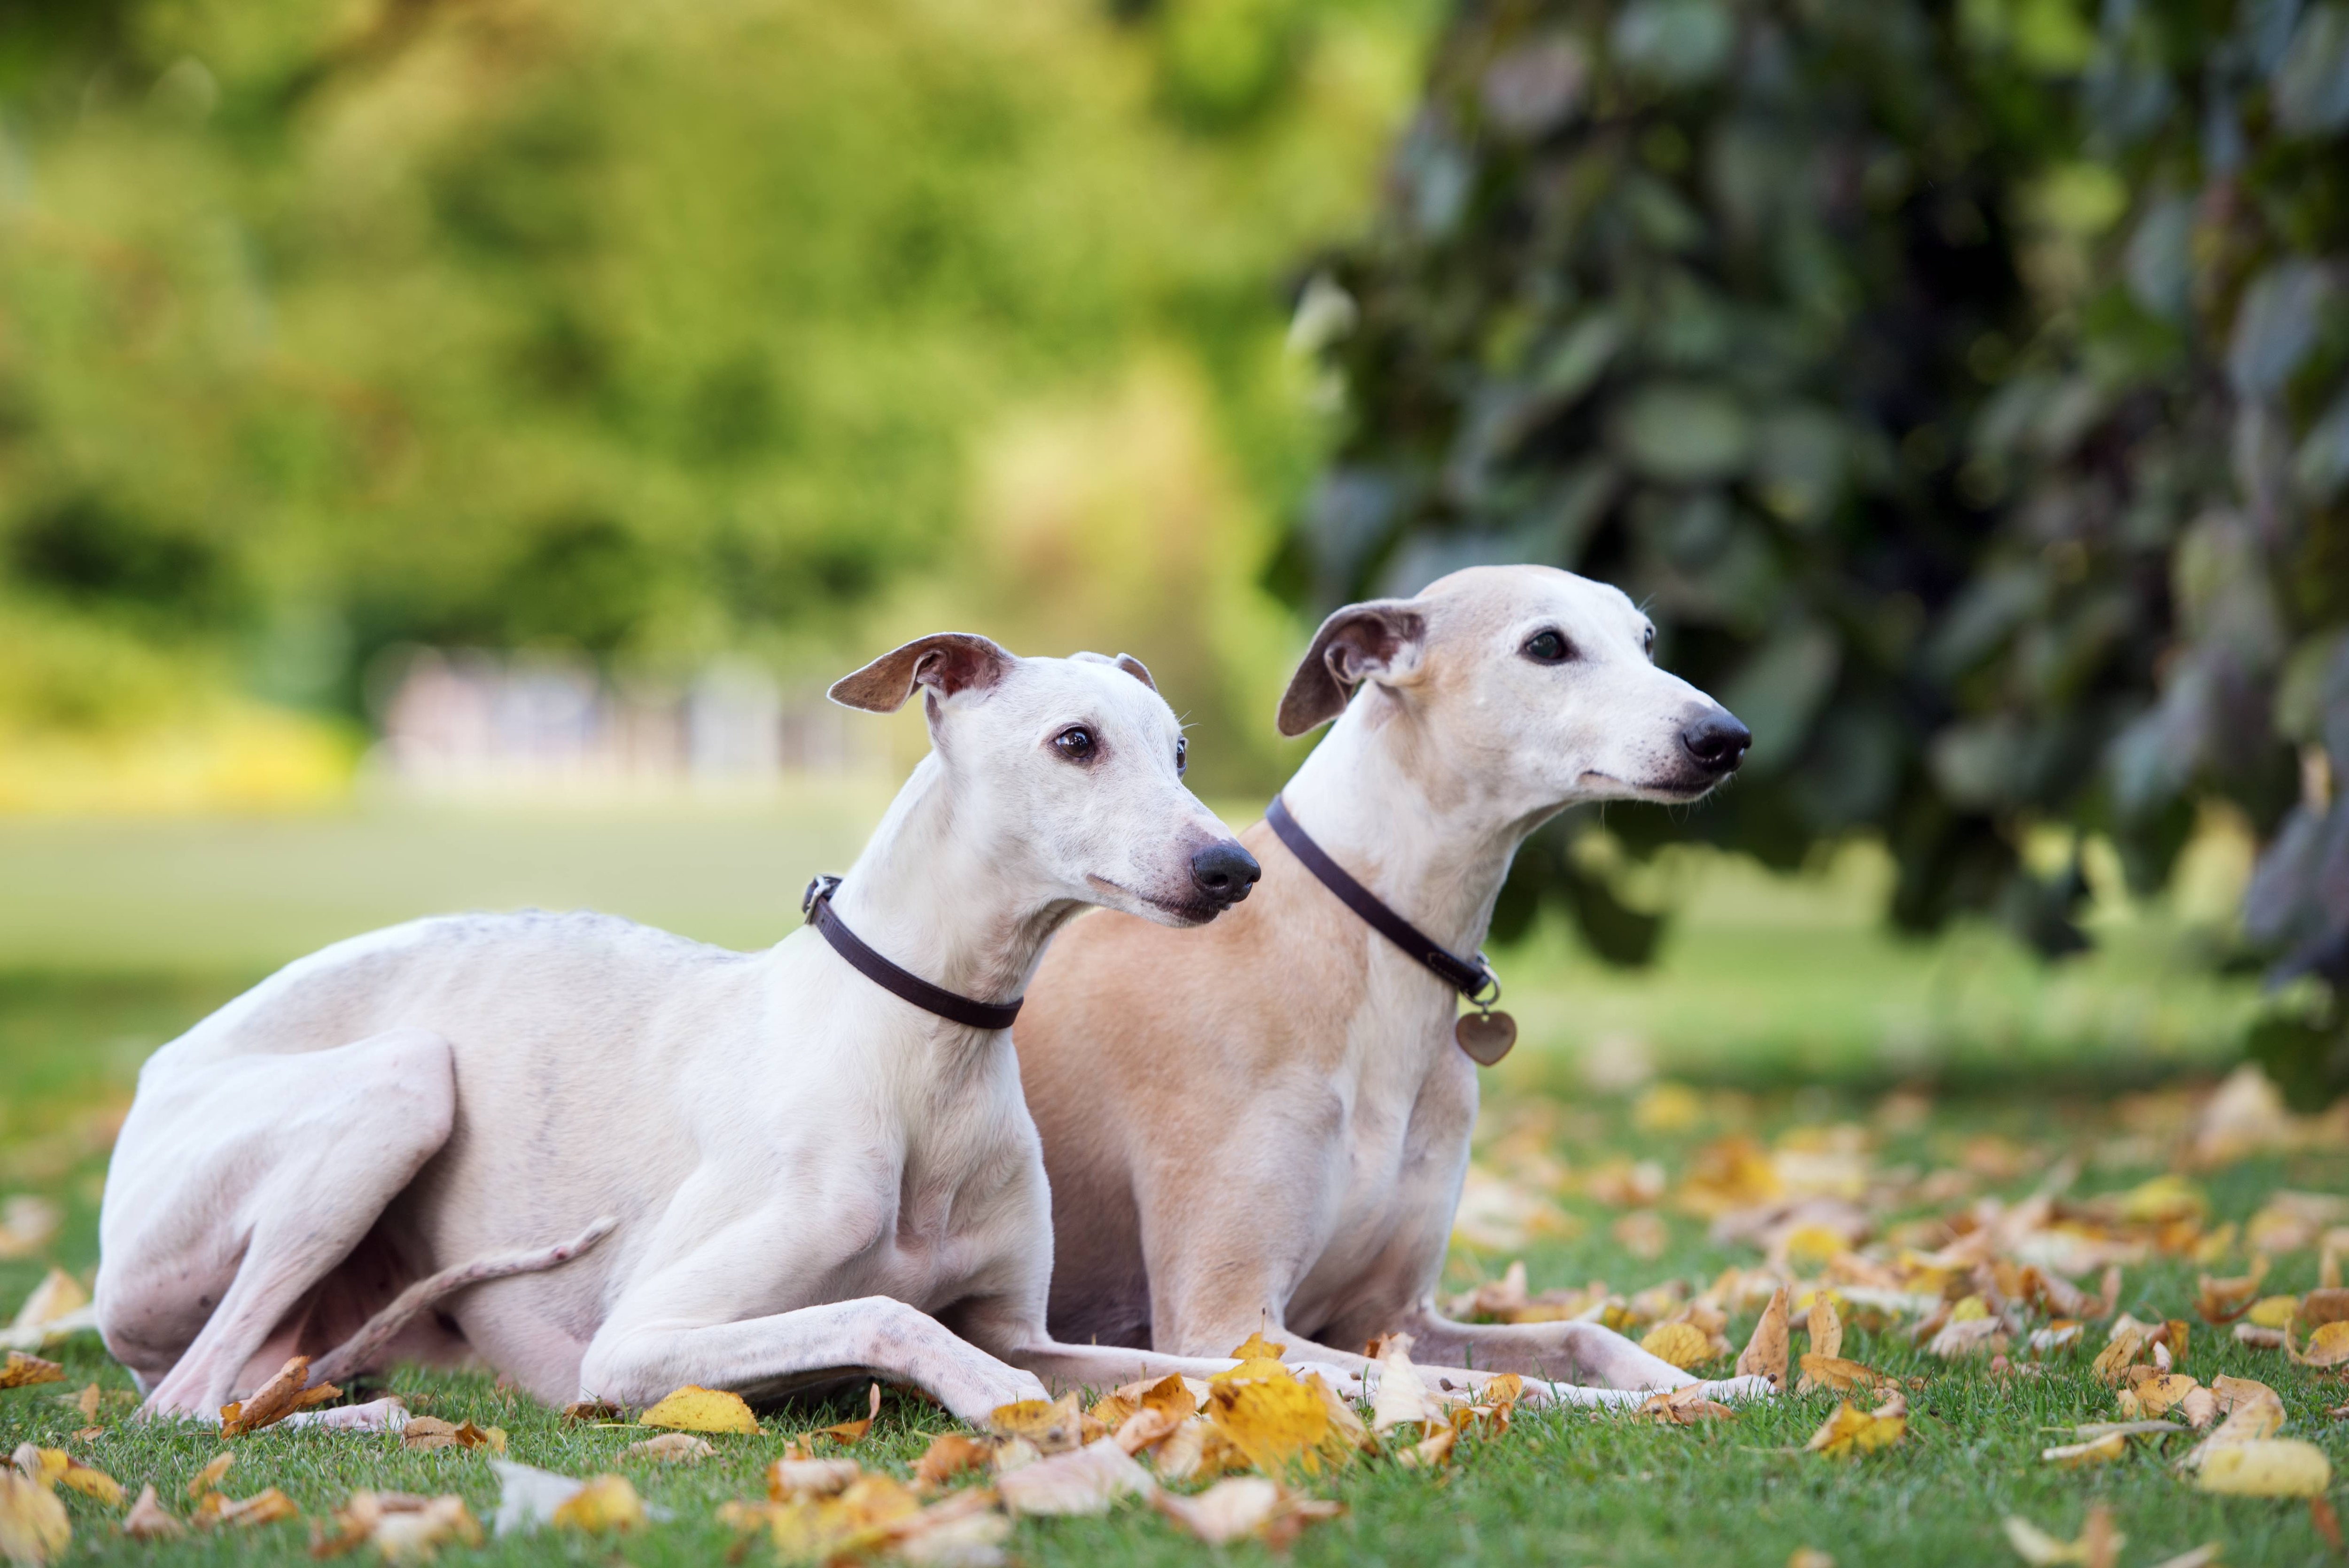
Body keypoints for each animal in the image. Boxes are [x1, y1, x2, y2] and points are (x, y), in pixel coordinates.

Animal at [96, 634, 1306, 1418]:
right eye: (1074, 741)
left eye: (1181, 751)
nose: (1232, 868)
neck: (919, 1044)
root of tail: (157, 1069)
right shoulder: (644, 1338)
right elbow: (883, 1310)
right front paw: (991, 1390)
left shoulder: (1030, 1322)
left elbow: (1216, 1365)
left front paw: (1352, 1378)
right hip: (399, 1080)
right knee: (187, 1401)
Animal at [1010, 570, 1766, 1399]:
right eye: (1547, 645)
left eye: (1647, 639)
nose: (1725, 737)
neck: (1366, 946)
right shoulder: (1232, 1324)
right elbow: (1499, 1389)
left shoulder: (1389, 1315)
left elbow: (1584, 1330)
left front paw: (1714, 1385)